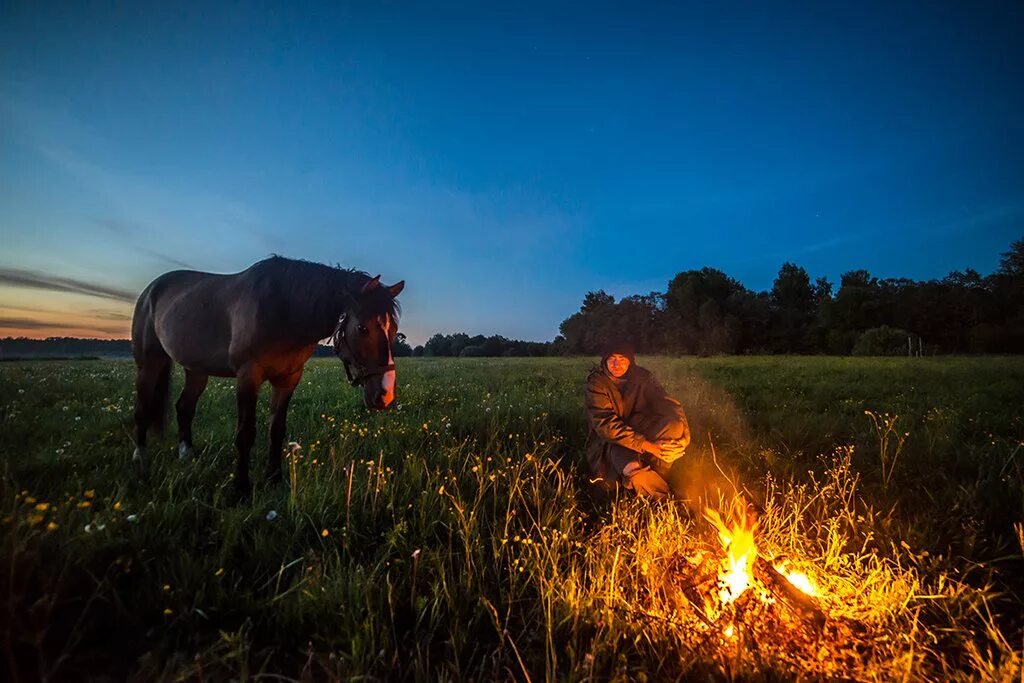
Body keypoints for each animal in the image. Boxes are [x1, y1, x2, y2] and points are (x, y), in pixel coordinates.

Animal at [126, 255, 399, 497]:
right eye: (362, 328)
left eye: (393, 329)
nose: (384, 394)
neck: (283, 309)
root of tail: (151, 290)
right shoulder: (248, 376)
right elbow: (245, 434)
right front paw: (241, 488)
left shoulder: (288, 379)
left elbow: (276, 431)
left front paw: (275, 478)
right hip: (149, 364)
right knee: (142, 409)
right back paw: (140, 461)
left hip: (196, 370)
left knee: (184, 408)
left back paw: (186, 454)